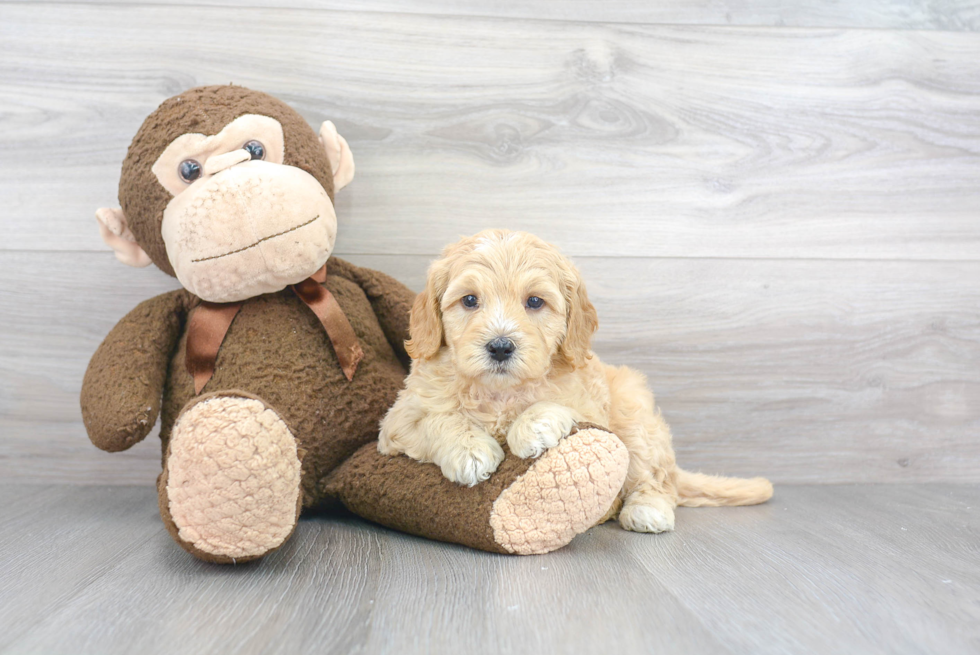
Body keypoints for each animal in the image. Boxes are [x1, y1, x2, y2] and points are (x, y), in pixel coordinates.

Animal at [382, 231, 772, 532]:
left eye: (534, 301)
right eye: (469, 300)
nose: (500, 346)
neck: (500, 393)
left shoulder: (590, 406)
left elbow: (559, 406)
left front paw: (532, 426)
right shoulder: (397, 421)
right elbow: (437, 418)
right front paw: (470, 451)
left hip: (634, 415)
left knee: (657, 478)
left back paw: (648, 509)